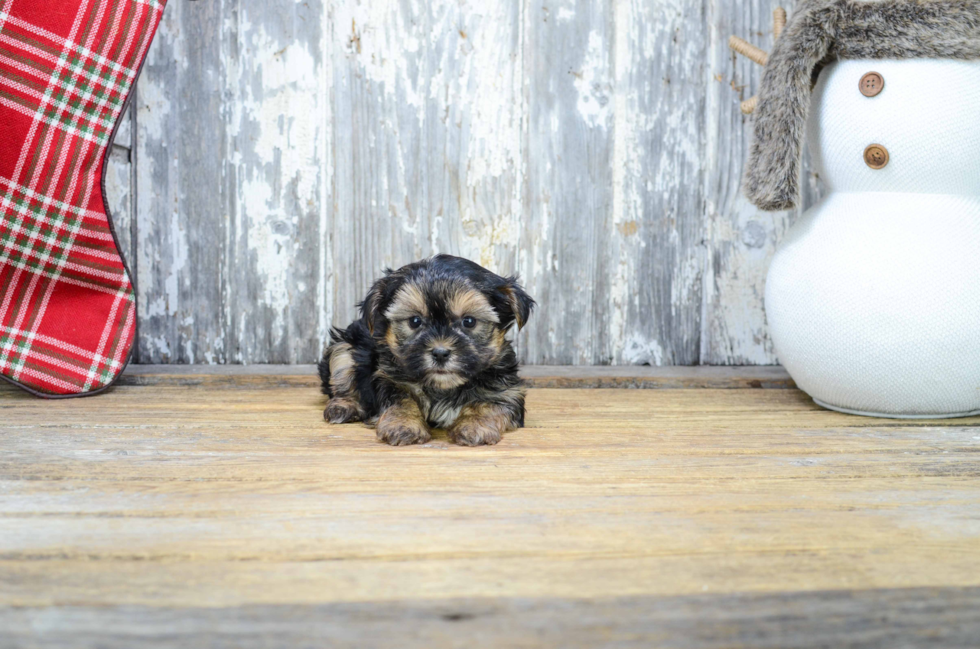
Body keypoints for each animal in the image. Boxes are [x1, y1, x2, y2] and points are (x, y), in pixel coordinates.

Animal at [320, 253, 536, 446]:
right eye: (415, 321)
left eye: (469, 321)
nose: (440, 352)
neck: (443, 387)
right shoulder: (389, 379)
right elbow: (401, 400)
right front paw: (402, 424)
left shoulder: (506, 391)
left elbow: (488, 405)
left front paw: (474, 426)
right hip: (344, 348)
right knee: (343, 381)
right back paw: (343, 407)